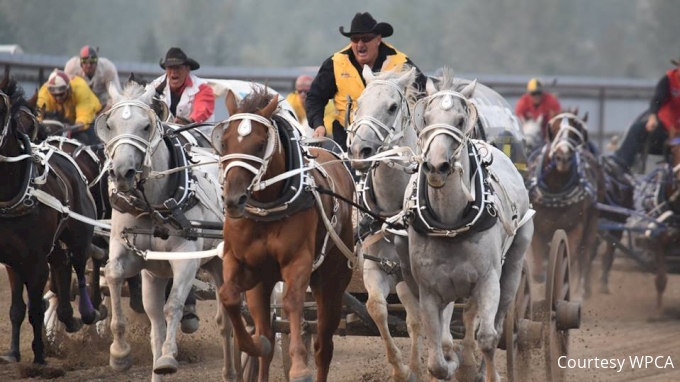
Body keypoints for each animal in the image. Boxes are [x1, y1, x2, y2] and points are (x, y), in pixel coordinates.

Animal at [0, 75, 102, 364]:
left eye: (32, 122)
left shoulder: (35, 259)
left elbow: (34, 307)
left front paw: (39, 357)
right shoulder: (11, 259)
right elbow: (16, 308)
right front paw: (13, 353)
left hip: (81, 231)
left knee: (80, 262)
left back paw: (88, 312)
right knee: (62, 263)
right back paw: (67, 316)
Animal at [94, 83, 239, 382]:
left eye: (146, 126)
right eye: (109, 125)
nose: (122, 173)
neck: (156, 207)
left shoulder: (185, 260)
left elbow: (174, 306)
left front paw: (169, 358)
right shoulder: (129, 253)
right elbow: (112, 274)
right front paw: (119, 354)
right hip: (164, 275)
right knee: (160, 325)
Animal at [216, 86, 356, 382]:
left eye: (260, 145)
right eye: (224, 142)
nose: (233, 200)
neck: (268, 207)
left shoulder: (298, 261)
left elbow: (292, 302)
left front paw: (299, 367)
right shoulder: (242, 263)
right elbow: (229, 296)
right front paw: (254, 344)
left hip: (332, 281)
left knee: (323, 345)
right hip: (263, 283)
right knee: (267, 334)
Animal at [402, 68, 532, 382]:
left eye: (460, 121)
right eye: (426, 118)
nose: (436, 166)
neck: (450, 223)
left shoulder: (487, 281)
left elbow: (487, 337)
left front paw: (485, 372)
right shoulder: (429, 290)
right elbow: (436, 355)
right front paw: (451, 363)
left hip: (513, 265)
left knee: (497, 323)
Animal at [524, 110, 604, 298]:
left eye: (576, 133)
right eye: (553, 130)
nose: (563, 158)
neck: (556, 190)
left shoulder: (575, 228)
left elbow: (570, 261)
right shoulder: (538, 230)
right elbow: (538, 272)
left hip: (592, 222)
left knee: (585, 256)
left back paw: (582, 291)